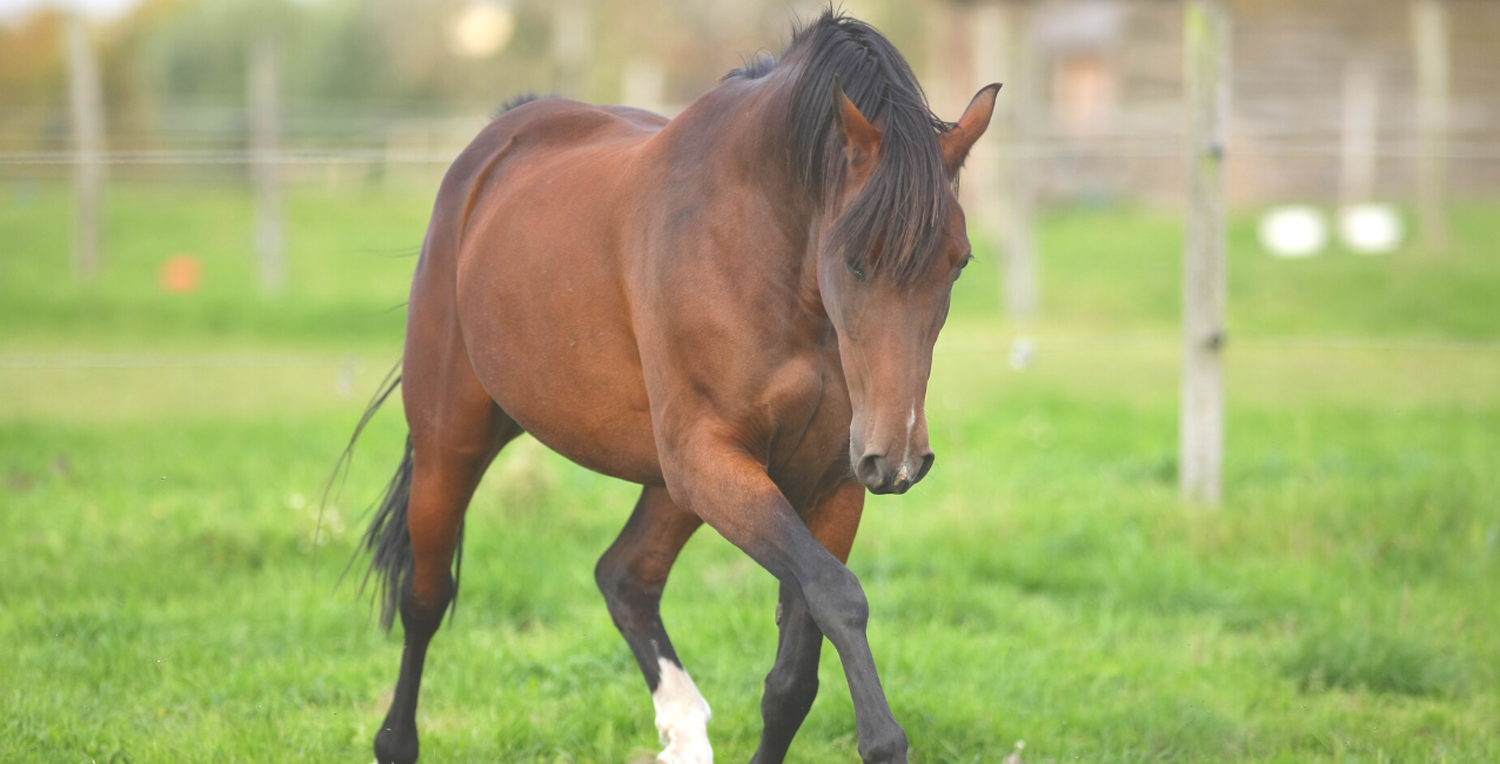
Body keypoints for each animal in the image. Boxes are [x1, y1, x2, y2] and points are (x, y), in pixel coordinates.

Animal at [349, 11, 996, 762]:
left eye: (958, 262)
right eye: (856, 261)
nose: (897, 459)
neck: (766, 252)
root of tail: (494, 145)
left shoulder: (827, 483)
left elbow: (794, 676)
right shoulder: (710, 459)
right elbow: (838, 596)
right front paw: (884, 739)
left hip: (671, 483)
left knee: (626, 576)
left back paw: (683, 730)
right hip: (452, 442)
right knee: (424, 598)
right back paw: (397, 739)